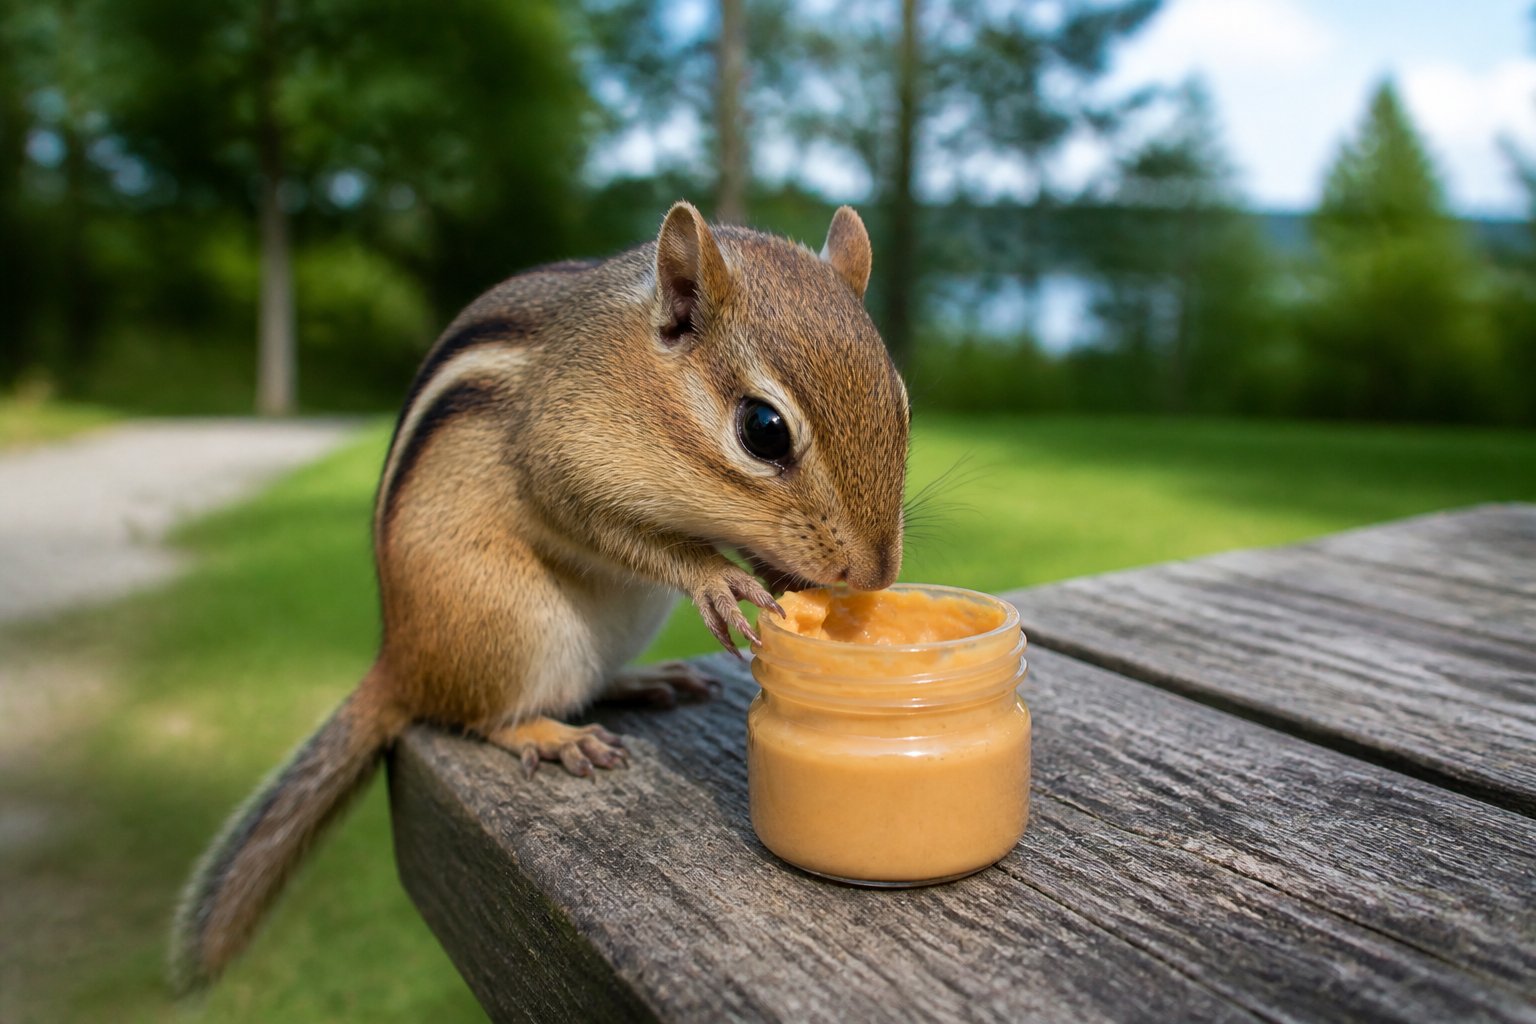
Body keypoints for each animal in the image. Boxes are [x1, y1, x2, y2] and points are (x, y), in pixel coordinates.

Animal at [169, 201, 910, 990]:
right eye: (763, 430)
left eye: (900, 400)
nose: (875, 574)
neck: (628, 376)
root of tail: (398, 658)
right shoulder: (559, 467)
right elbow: (624, 534)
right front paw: (716, 579)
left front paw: (782, 580)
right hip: (515, 625)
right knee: (477, 715)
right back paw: (549, 737)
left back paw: (640, 681)